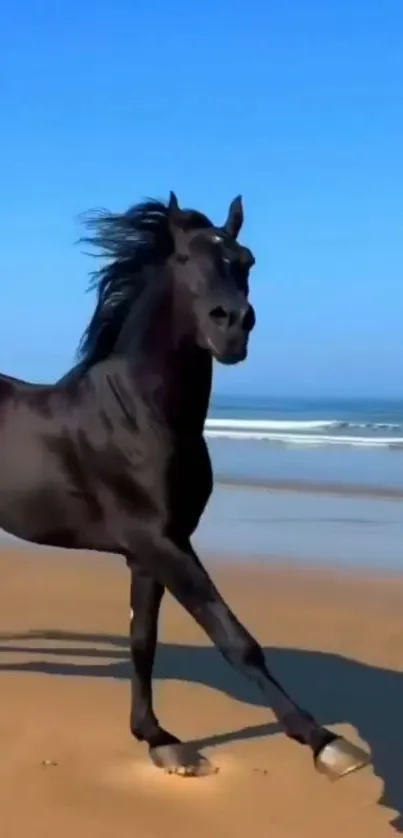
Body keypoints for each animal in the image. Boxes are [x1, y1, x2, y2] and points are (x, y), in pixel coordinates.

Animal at [0, 192, 370, 780]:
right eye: (182, 259)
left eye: (246, 260)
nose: (233, 324)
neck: (141, 417)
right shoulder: (160, 542)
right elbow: (234, 638)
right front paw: (324, 742)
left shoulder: (149, 551)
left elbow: (142, 640)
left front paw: (158, 739)